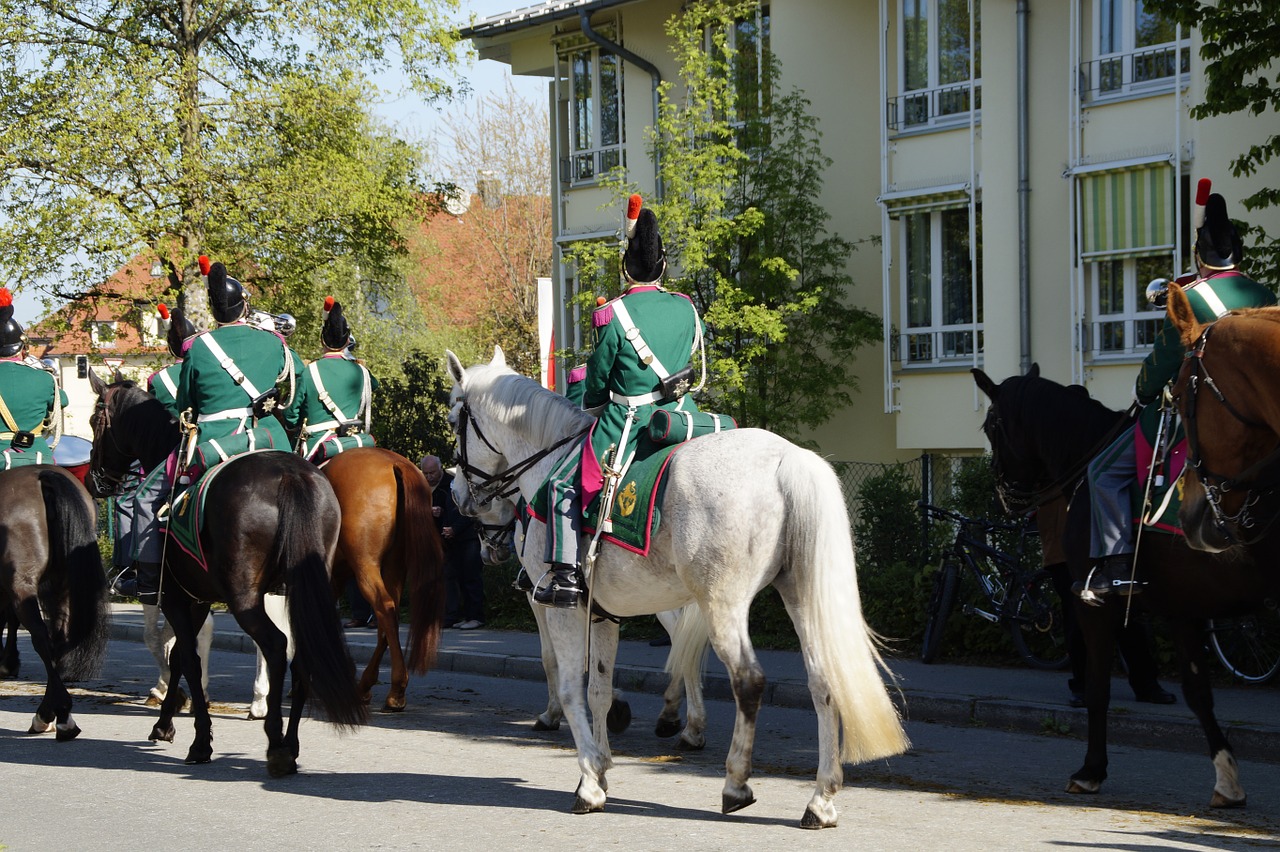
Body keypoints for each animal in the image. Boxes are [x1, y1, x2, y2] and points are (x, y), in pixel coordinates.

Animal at [0, 465, 110, 736]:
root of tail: (43, 476)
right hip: (60, 584)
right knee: (57, 637)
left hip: (24, 586)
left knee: (41, 636)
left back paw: (53, 713)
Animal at [87, 368, 368, 772]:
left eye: (95, 420)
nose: (94, 480)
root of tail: (290, 474)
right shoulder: (197, 599)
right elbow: (180, 655)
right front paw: (166, 722)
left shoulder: (174, 598)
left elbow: (185, 657)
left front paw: (199, 740)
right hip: (306, 590)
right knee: (301, 654)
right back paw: (291, 744)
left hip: (244, 597)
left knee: (275, 645)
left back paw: (276, 743)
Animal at [453, 473, 711, 747]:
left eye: (479, 514)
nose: (488, 554)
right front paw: (614, 703)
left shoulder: (540, 598)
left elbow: (550, 656)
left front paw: (552, 714)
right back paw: (676, 717)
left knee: (683, 643)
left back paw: (688, 724)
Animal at [972, 363, 1274, 803]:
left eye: (990, 426)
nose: (1005, 495)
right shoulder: (1183, 610)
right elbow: (1198, 693)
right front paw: (1227, 778)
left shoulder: (1094, 606)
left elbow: (1098, 689)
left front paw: (1091, 770)